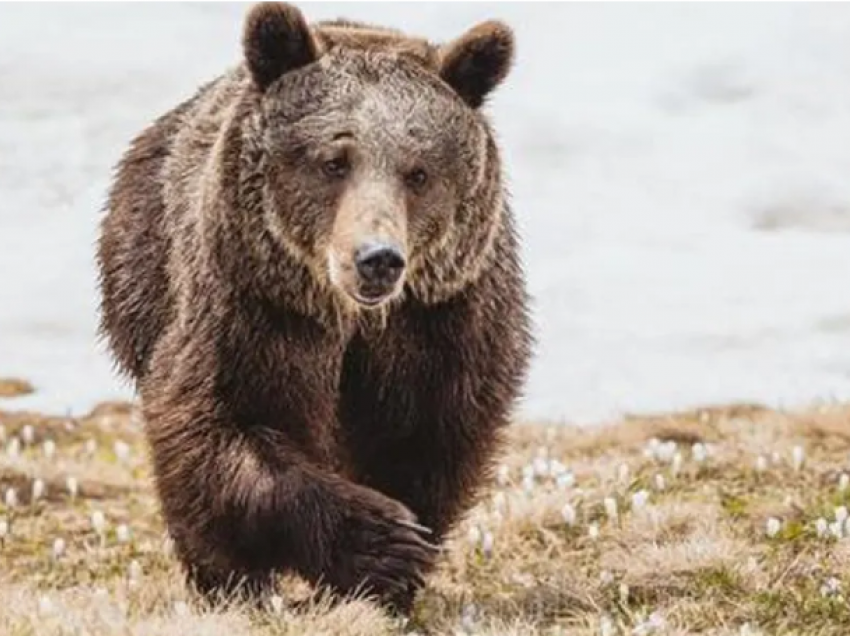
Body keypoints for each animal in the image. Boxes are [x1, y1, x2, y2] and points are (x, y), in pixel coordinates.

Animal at [94, 0, 528, 612]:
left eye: (418, 171)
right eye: (334, 160)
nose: (377, 259)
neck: (352, 320)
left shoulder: (440, 323)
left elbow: (424, 435)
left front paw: (395, 570)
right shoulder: (254, 309)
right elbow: (224, 426)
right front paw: (383, 542)